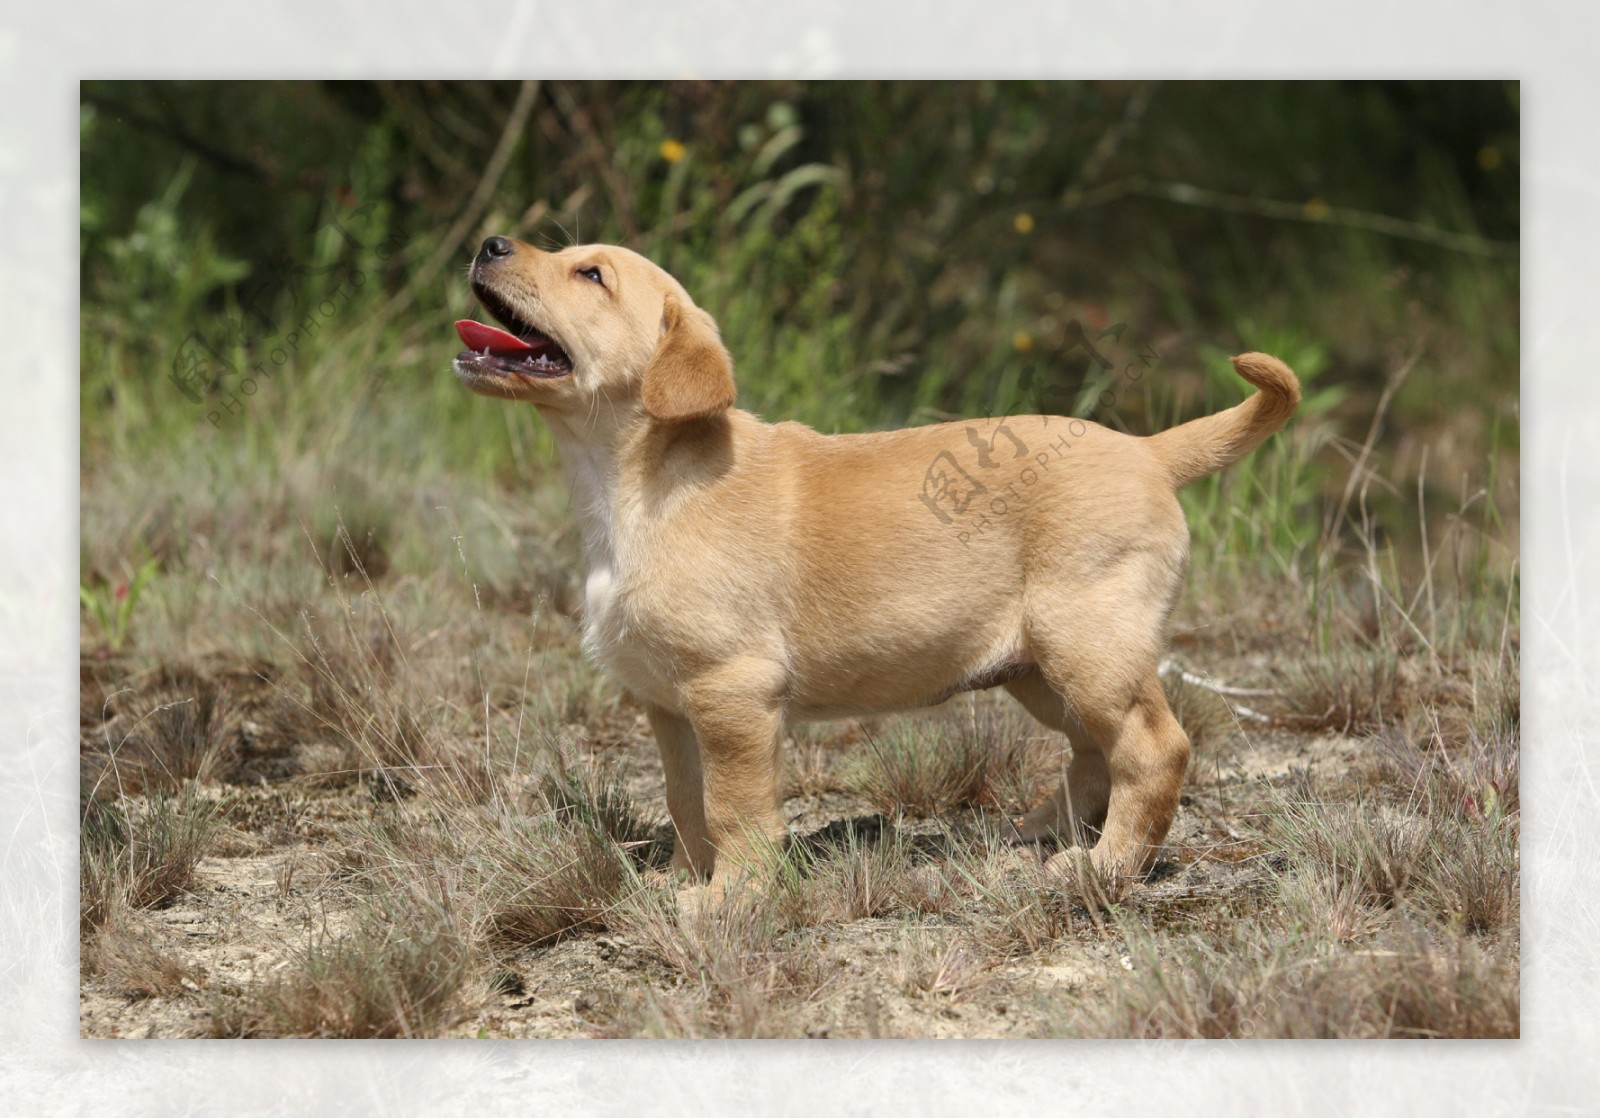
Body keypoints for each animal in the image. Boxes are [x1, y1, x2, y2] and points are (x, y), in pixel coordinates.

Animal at [454, 233, 1299, 890]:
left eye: (590, 274)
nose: (489, 242)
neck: (625, 482)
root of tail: (1149, 450)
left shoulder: (731, 689)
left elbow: (733, 806)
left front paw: (729, 898)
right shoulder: (669, 704)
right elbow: (685, 799)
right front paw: (681, 882)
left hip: (1089, 644)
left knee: (1153, 749)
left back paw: (1106, 866)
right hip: (1040, 665)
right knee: (1096, 750)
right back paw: (1040, 833)